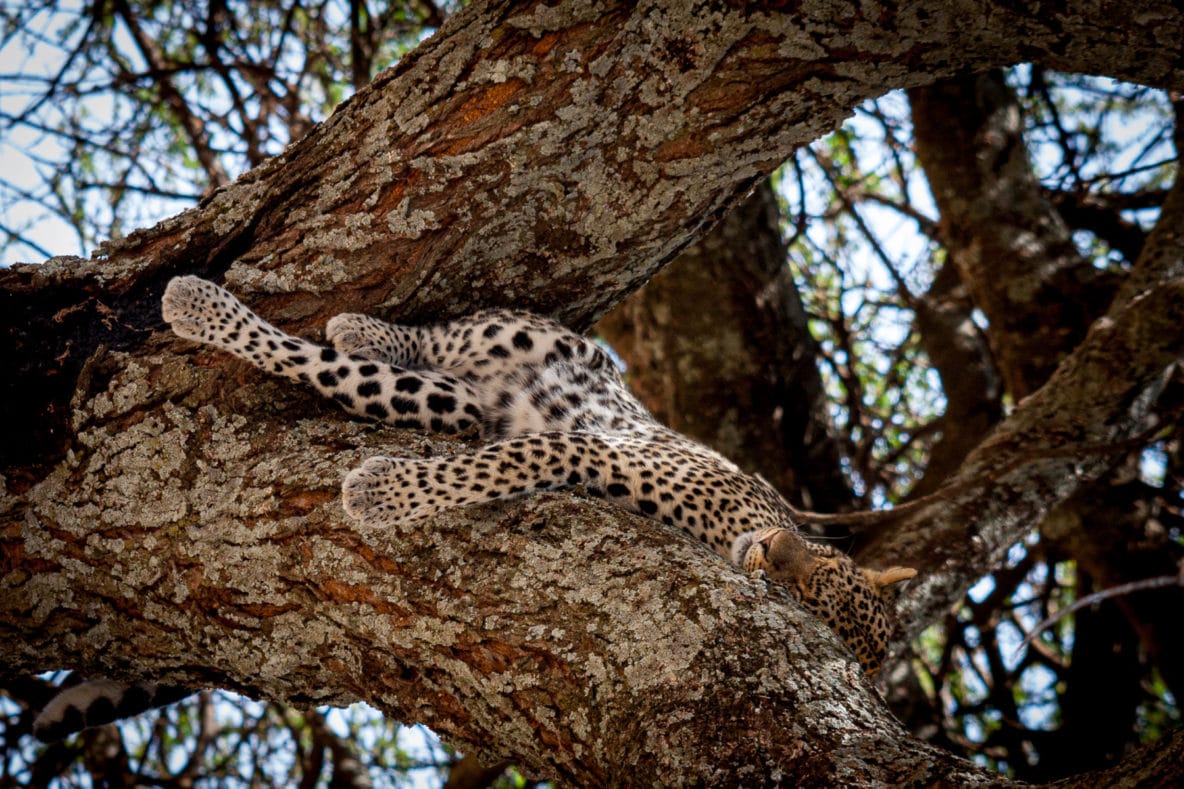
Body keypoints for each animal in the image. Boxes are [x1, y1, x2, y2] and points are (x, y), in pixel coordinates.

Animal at [30, 274, 914, 739]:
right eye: (821, 586)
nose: (779, 555)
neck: (738, 523)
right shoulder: (594, 447)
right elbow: (508, 462)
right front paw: (381, 493)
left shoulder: (582, 454)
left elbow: (497, 463)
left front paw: (379, 494)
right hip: (524, 347)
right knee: (413, 345)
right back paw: (240, 308)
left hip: (454, 405)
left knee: (388, 381)